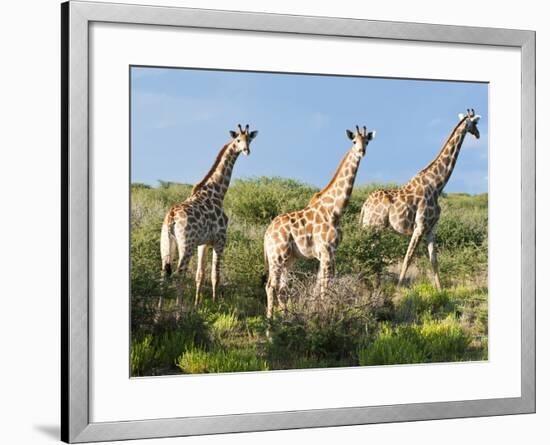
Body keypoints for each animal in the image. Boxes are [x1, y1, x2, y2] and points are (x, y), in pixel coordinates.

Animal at [160, 122, 258, 308]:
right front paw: (214, 304)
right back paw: (178, 309)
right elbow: (215, 275)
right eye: (238, 139)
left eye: (249, 139)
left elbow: (200, 275)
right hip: (186, 244)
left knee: (163, 273)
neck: (217, 193)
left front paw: (197, 304)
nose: (246, 150)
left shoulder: (203, 243)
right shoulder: (220, 240)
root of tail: (171, 217)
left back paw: (159, 311)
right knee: (179, 272)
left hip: (167, 244)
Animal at [264, 126, 378, 318]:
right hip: (277, 256)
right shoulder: (326, 251)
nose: (361, 151)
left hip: (289, 259)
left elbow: (321, 285)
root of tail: (266, 235)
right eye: (354, 141)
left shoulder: (330, 252)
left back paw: (285, 318)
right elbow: (325, 286)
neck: (335, 210)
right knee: (271, 286)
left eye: (367, 141)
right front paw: (324, 312)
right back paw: (270, 321)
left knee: (282, 289)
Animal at [358, 107, 484, 288]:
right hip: (374, 227)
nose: (479, 134)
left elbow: (434, 260)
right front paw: (399, 287)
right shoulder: (420, 226)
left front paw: (440, 289)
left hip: (370, 227)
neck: (437, 185)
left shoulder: (431, 228)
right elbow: (408, 258)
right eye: (475, 123)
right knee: (370, 251)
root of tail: (365, 205)